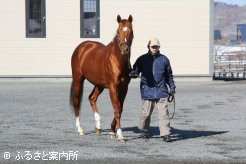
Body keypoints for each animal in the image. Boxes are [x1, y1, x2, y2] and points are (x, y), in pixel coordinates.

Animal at [70, 14, 134, 142]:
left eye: (130, 30)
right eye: (118, 31)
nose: (125, 49)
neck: (117, 60)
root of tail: (81, 47)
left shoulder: (124, 88)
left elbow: (120, 108)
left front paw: (112, 131)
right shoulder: (112, 87)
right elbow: (116, 108)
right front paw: (120, 135)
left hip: (99, 85)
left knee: (92, 98)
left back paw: (98, 127)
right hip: (78, 80)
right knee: (76, 101)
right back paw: (80, 130)